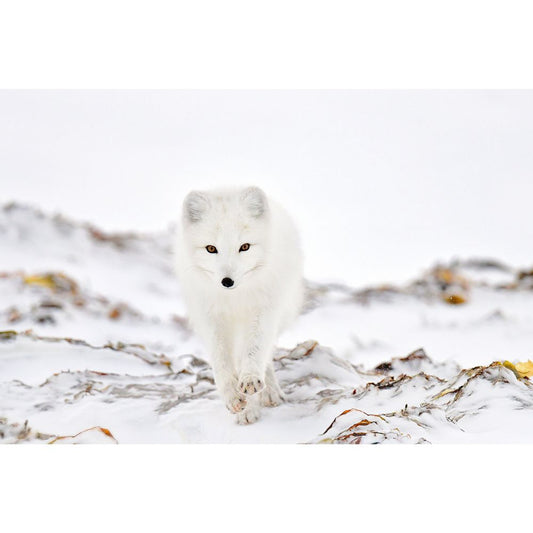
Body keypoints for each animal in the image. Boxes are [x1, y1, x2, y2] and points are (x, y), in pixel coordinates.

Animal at [172, 187, 302, 424]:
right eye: (211, 248)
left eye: (245, 247)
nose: (227, 282)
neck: (235, 299)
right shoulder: (210, 318)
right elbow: (221, 361)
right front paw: (234, 398)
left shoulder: (264, 311)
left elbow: (255, 350)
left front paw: (250, 381)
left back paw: (267, 392)